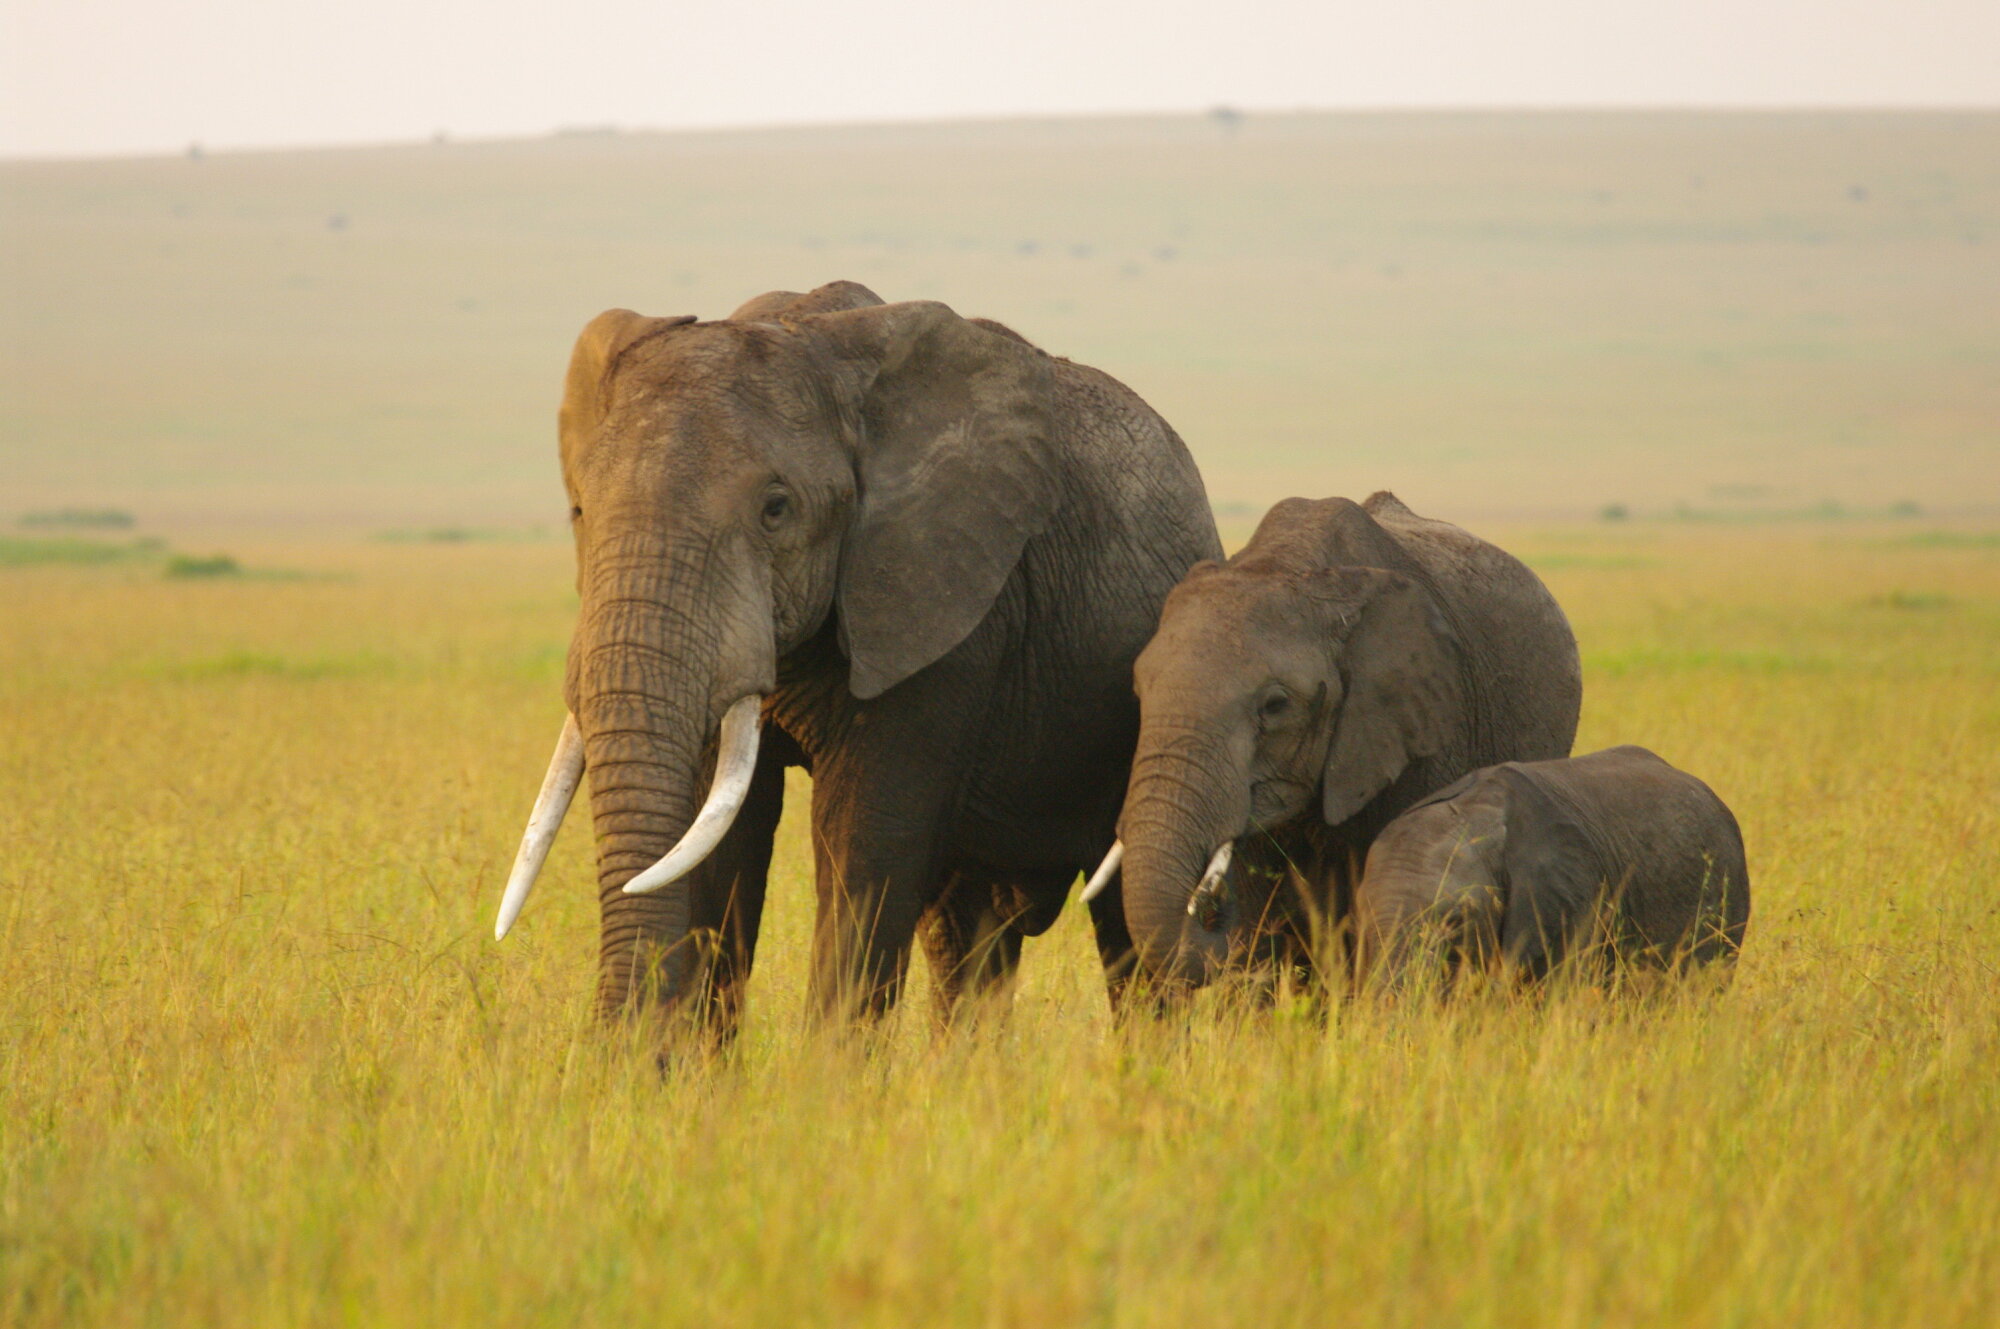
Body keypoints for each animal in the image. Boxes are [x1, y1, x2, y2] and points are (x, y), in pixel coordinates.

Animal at [493, 280, 1221, 1035]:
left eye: (776, 509)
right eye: (579, 510)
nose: (620, 1047)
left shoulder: (944, 609)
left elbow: (862, 847)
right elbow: (716, 840)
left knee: (1126, 930)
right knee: (966, 932)